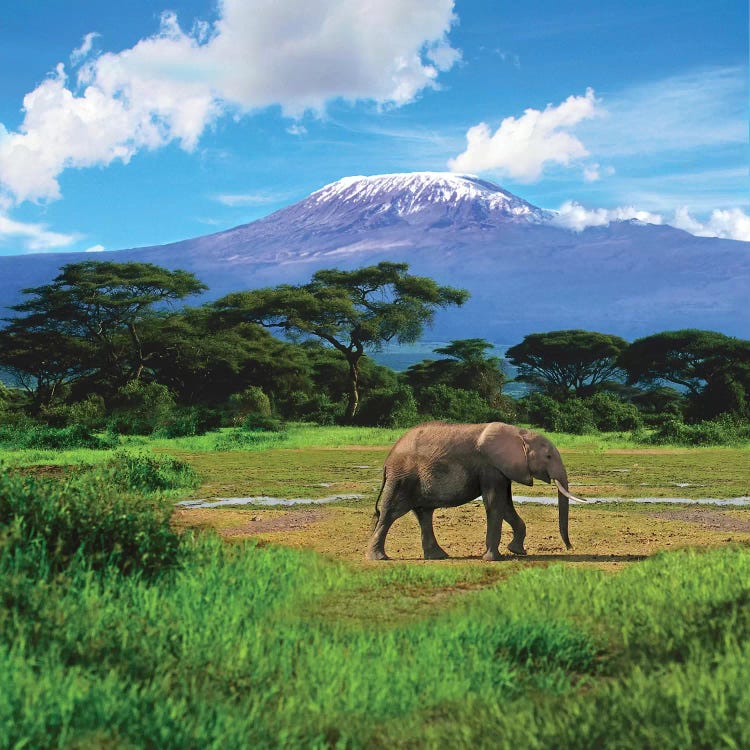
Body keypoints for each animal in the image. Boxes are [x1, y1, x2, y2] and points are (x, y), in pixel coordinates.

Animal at [364, 420, 588, 560]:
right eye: (548, 457)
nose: (570, 548)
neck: (520, 433)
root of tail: (387, 460)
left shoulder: (502, 469)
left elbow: (506, 506)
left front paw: (517, 551)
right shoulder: (489, 467)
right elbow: (495, 504)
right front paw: (494, 559)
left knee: (424, 514)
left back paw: (438, 556)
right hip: (402, 479)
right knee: (390, 514)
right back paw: (379, 558)